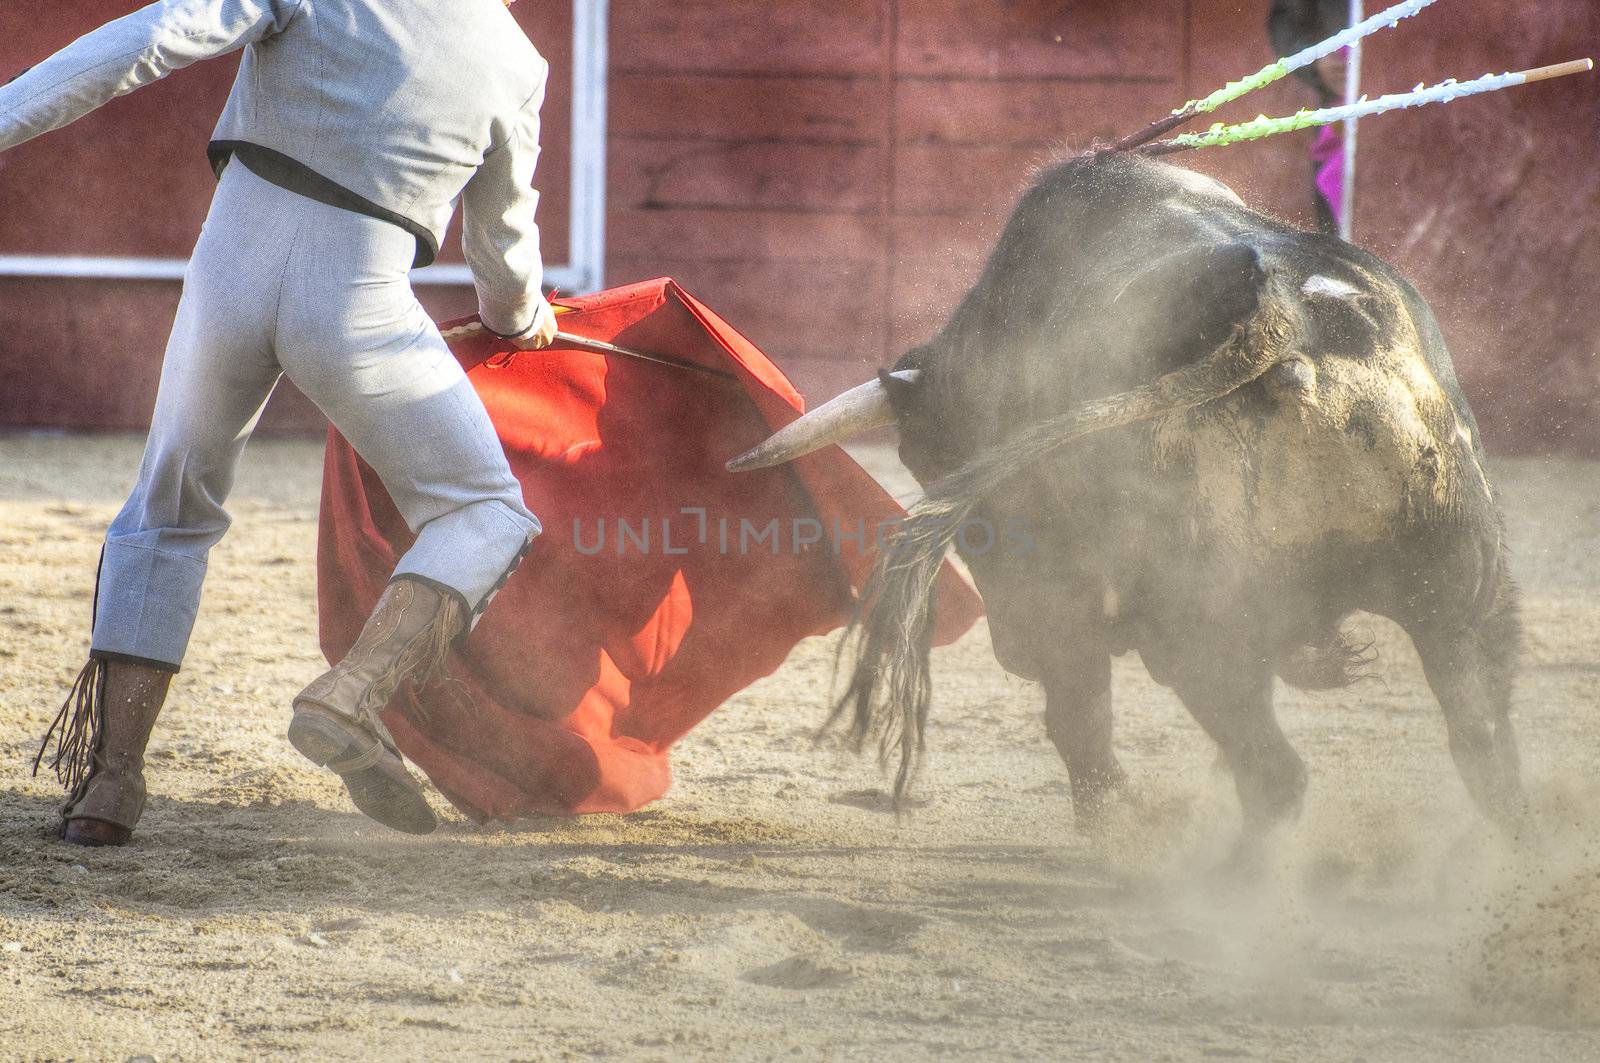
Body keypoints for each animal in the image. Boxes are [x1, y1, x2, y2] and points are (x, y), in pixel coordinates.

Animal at [732, 151, 1516, 845]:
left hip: (1198, 630)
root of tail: (1282, 316)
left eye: (925, 460)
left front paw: (1111, 824)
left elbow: (1079, 711)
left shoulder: (1059, 599)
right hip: (1464, 589)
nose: (1010, 649)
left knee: (1273, 772)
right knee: (1482, 738)